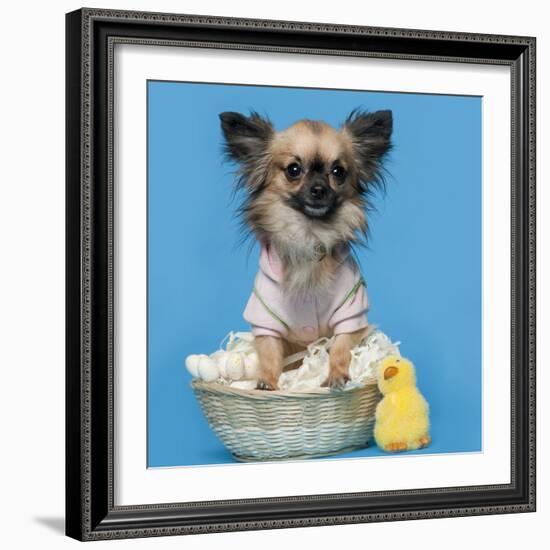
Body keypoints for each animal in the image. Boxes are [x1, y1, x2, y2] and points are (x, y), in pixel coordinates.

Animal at [219, 109, 392, 392]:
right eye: (294, 170)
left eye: (338, 172)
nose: (319, 189)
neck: (310, 233)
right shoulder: (265, 319)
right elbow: (269, 353)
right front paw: (267, 382)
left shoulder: (350, 314)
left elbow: (340, 348)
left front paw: (336, 375)